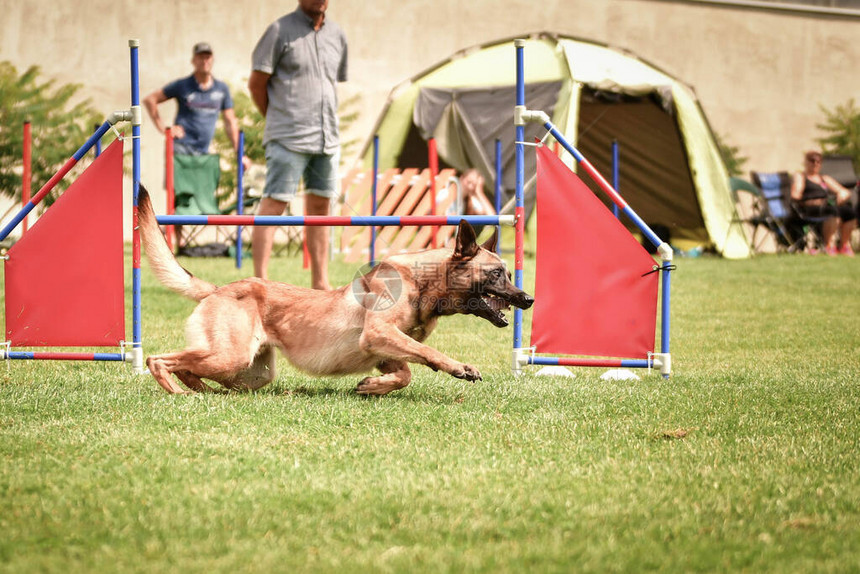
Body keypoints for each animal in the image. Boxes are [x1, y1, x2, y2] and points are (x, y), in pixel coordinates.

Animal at [138, 187, 536, 398]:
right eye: (496, 274)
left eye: (508, 274)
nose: (528, 299)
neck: (424, 282)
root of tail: (221, 288)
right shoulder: (378, 333)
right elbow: (427, 353)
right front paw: (459, 367)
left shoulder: (380, 349)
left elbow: (405, 373)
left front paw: (373, 386)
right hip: (230, 357)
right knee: (158, 359)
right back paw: (179, 392)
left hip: (251, 373)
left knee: (191, 366)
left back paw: (198, 390)